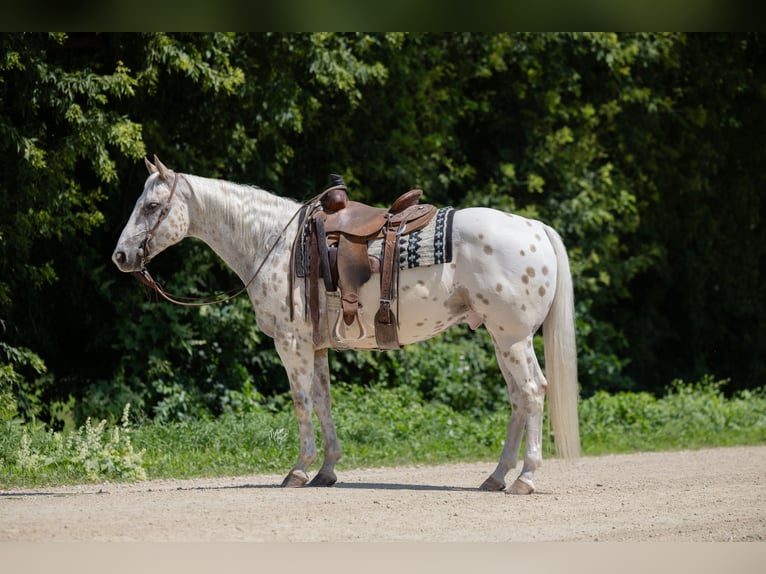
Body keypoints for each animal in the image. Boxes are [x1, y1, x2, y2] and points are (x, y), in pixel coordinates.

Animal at [112, 156, 580, 494]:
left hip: (513, 338)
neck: (275, 243)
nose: (121, 256)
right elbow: (323, 402)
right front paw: (327, 470)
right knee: (518, 399)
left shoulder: (291, 344)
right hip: (501, 340)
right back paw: (497, 477)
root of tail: (535, 227)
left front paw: (298, 471)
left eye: (151, 206)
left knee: (532, 392)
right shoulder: (316, 345)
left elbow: (301, 402)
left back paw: (525, 479)